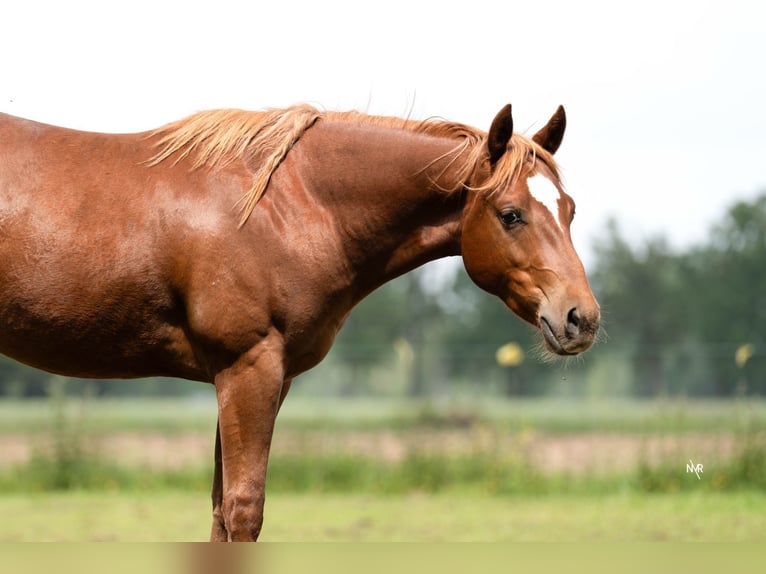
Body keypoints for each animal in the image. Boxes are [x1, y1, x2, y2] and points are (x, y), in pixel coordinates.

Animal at [0, 102, 600, 540]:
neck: (292, 205)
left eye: (569, 209)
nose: (581, 318)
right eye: (511, 214)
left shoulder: (256, 377)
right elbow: (244, 509)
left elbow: (220, 508)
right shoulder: (248, 369)